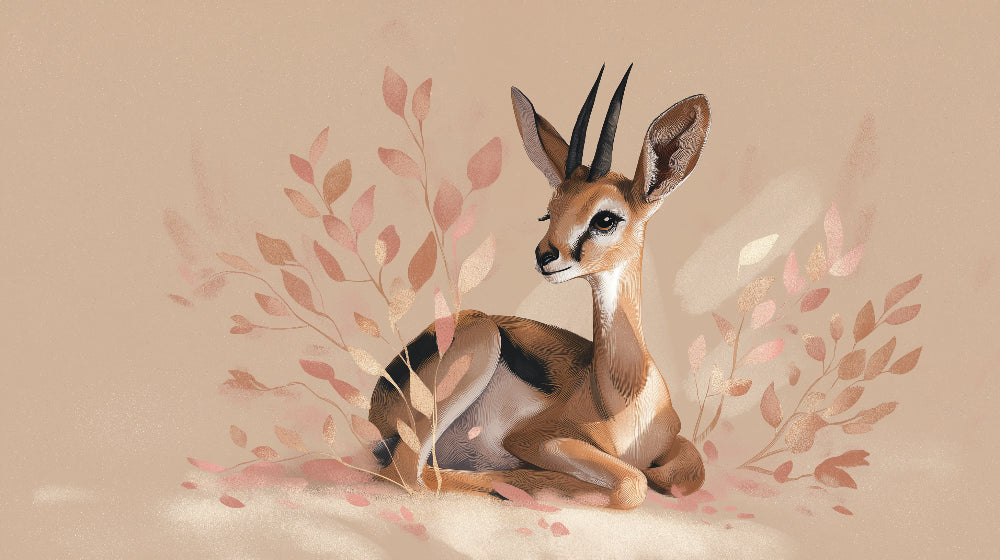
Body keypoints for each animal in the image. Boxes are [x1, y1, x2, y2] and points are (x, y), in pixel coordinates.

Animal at [369, 65, 710, 509]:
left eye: (605, 218)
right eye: (549, 212)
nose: (545, 255)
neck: (621, 397)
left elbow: (683, 472)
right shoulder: (535, 439)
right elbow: (631, 482)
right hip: (480, 343)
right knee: (409, 475)